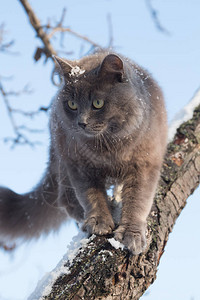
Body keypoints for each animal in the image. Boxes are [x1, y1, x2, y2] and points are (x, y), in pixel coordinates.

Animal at [0, 52, 167, 254]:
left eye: (97, 103)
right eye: (72, 104)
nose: (81, 122)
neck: (109, 148)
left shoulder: (144, 165)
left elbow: (138, 201)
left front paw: (131, 234)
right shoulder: (80, 165)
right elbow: (91, 196)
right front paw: (99, 221)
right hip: (62, 157)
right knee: (65, 199)